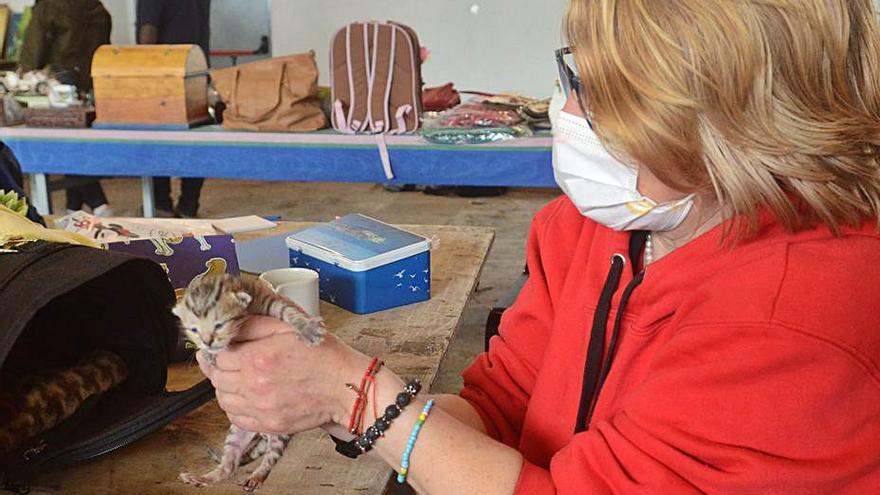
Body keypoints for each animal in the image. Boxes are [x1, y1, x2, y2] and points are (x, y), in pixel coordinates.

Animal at [170, 274, 324, 494]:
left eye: (219, 325)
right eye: (194, 329)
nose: (207, 342)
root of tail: (262, 434)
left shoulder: (269, 300)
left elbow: (287, 311)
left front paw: (308, 328)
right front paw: (208, 355)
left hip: (280, 432)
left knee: (270, 457)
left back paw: (256, 476)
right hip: (239, 428)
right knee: (229, 465)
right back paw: (201, 478)